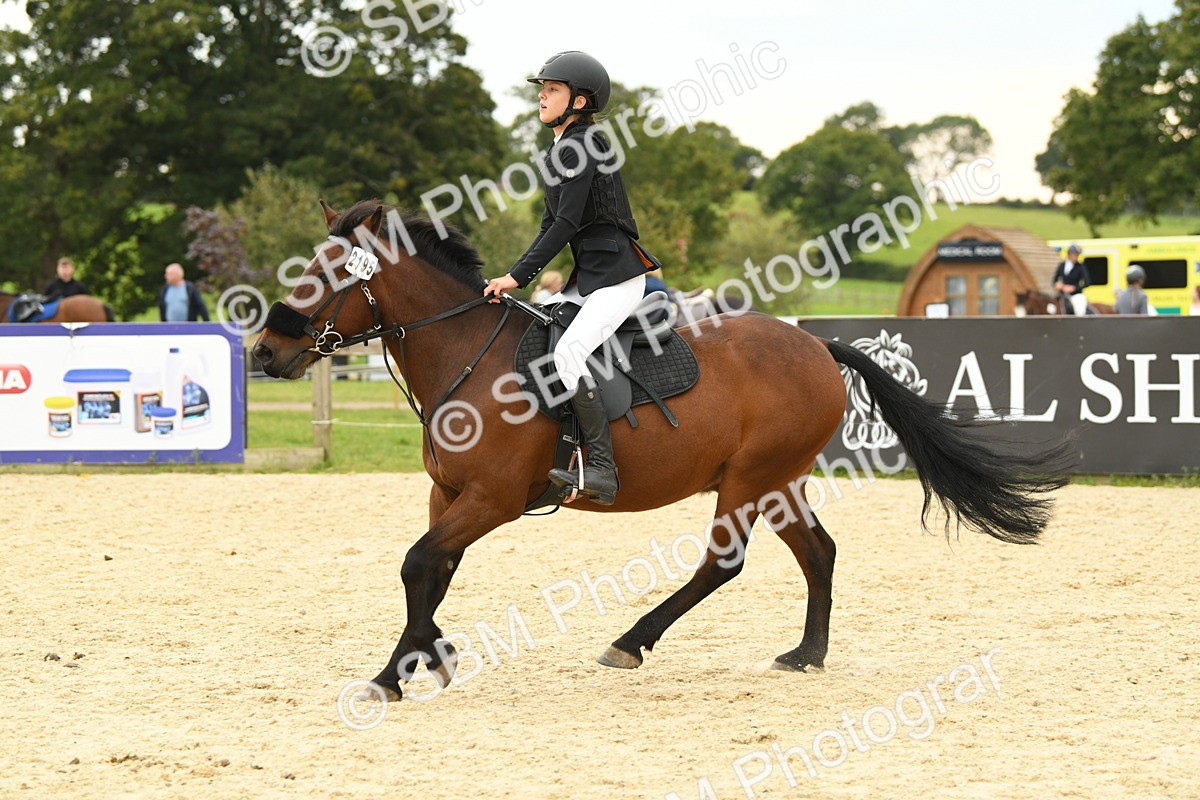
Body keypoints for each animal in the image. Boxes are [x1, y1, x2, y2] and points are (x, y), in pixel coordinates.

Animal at [252, 200, 1071, 702]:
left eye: (328, 275)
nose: (264, 352)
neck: (466, 352)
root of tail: (814, 343)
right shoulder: (448, 495)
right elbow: (432, 572)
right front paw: (411, 663)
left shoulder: (494, 499)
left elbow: (418, 563)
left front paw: (417, 665)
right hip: (778, 481)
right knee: (819, 552)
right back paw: (806, 654)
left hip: (747, 480)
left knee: (722, 564)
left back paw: (631, 641)